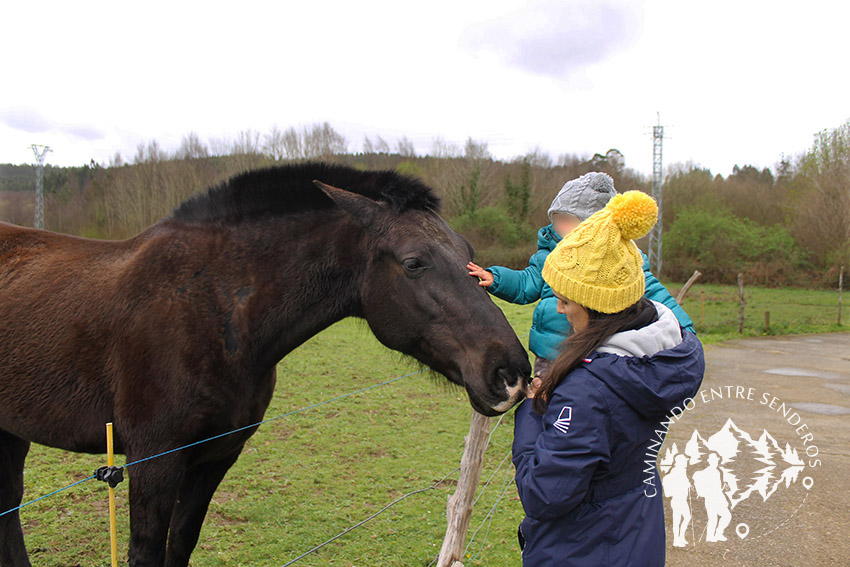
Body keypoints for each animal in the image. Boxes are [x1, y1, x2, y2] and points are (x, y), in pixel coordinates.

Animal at [0, 162, 528, 564]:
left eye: (470, 255)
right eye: (414, 262)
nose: (510, 372)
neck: (213, 310)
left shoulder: (216, 456)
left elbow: (180, 546)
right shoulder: (153, 459)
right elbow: (146, 552)